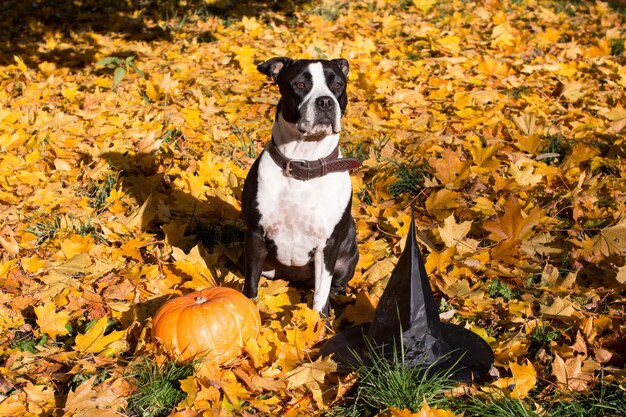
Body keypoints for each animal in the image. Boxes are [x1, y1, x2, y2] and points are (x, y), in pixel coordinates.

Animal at [240, 57, 358, 314]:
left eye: (338, 84)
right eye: (300, 84)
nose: (325, 101)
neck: (304, 163)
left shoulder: (328, 246)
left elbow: (320, 296)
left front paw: (318, 321)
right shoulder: (255, 235)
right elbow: (251, 284)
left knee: (336, 285)